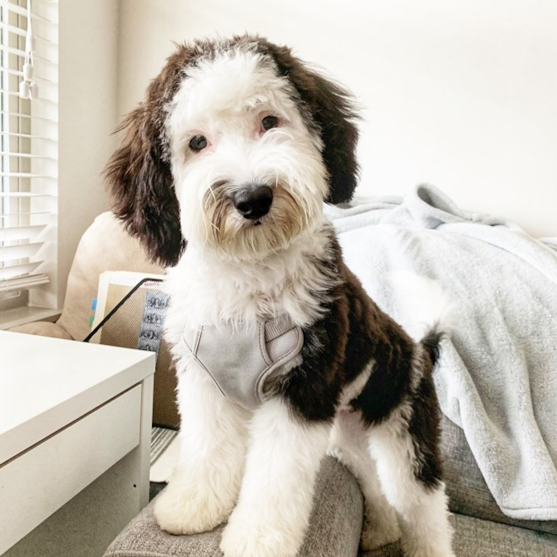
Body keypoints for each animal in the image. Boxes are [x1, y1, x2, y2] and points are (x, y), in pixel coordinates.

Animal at [106, 34, 454, 556]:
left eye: (269, 121)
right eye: (197, 142)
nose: (252, 198)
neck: (250, 272)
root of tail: (418, 348)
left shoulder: (301, 392)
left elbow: (276, 479)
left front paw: (257, 539)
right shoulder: (206, 381)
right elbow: (206, 448)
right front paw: (192, 507)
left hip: (404, 425)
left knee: (423, 506)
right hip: (347, 430)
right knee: (372, 482)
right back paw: (379, 530)